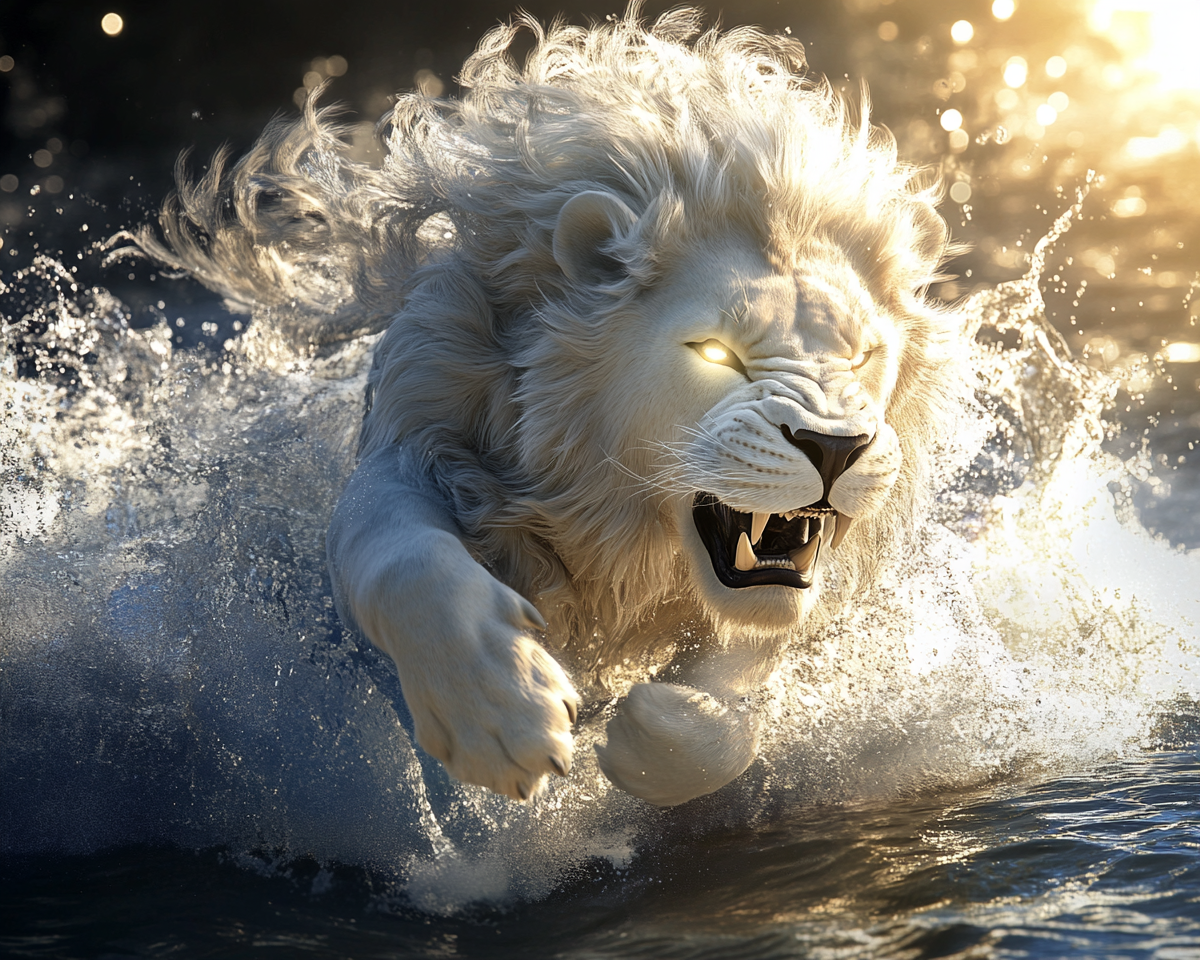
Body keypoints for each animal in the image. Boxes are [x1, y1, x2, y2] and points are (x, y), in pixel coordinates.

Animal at [131, 7, 960, 807]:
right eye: (719, 354)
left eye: (863, 356)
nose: (835, 447)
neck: (620, 521)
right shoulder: (418, 434)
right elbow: (403, 560)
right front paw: (500, 715)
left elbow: (743, 684)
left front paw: (659, 731)